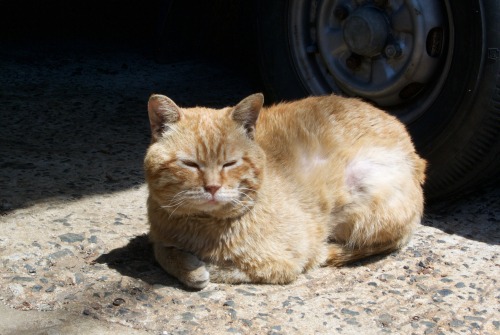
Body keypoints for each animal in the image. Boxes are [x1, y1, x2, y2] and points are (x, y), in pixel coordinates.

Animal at [145, 93, 426, 290]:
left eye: (230, 163)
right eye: (190, 164)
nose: (212, 187)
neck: (200, 227)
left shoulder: (281, 264)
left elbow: (224, 267)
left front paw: (195, 269)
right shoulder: (161, 233)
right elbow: (160, 250)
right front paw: (185, 264)